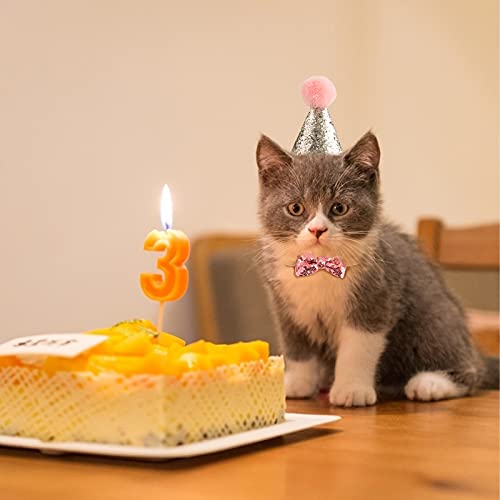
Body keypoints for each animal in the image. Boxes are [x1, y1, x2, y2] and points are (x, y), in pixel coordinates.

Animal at [256, 132, 498, 406]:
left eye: (339, 208)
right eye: (296, 208)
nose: (317, 230)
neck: (321, 269)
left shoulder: (377, 294)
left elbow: (358, 348)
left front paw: (352, 390)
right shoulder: (286, 306)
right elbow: (297, 346)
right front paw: (297, 384)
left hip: (434, 320)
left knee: (470, 370)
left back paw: (431, 383)